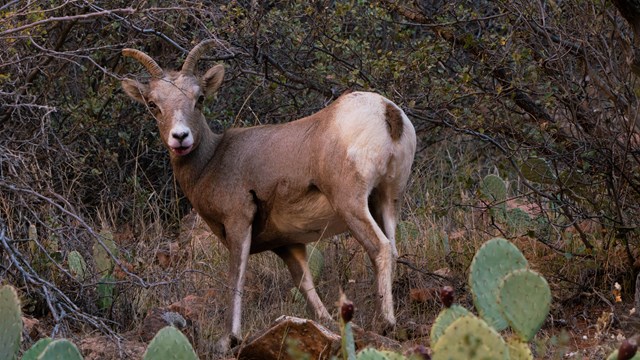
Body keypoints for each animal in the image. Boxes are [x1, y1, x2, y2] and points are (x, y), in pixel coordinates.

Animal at [122, 39, 418, 352]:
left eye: (199, 98)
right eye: (153, 104)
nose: (180, 137)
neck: (212, 161)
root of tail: (386, 111)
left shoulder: (238, 223)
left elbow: (236, 278)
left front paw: (229, 339)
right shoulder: (289, 245)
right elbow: (305, 284)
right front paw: (325, 322)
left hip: (351, 203)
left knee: (380, 248)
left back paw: (384, 323)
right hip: (387, 201)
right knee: (393, 247)